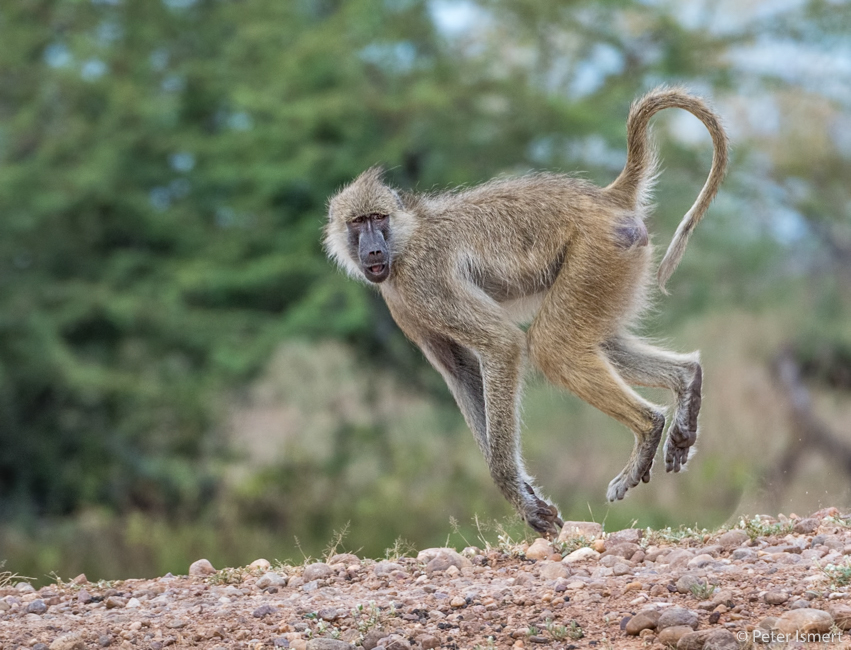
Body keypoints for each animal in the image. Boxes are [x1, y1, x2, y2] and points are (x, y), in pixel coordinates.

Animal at [324, 87, 728, 537]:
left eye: (378, 219)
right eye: (358, 223)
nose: (373, 251)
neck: (405, 238)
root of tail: (605, 197)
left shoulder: (423, 281)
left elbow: (501, 346)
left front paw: (519, 495)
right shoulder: (404, 302)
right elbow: (459, 370)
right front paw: (527, 497)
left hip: (600, 253)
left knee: (551, 347)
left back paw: (649, 427)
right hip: (616, 266)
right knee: (599, 342)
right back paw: (684, 389)